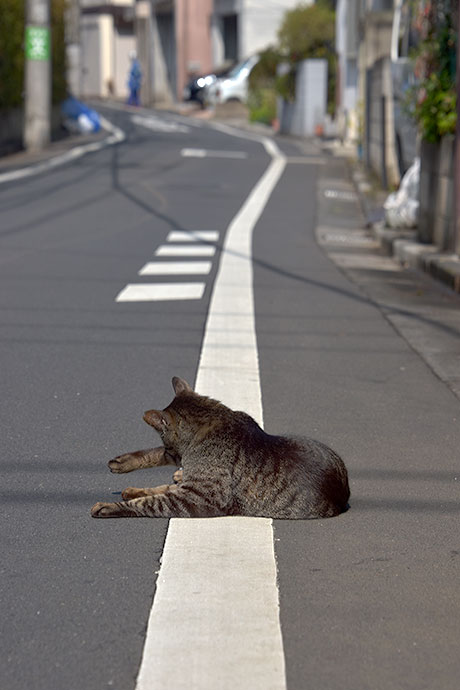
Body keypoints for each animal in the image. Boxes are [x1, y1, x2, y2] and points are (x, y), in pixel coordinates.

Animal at [90, 376, 350, 516]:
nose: (172, 450)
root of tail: (345, 490)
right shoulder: (184, 465)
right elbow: (157, 456)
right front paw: (124, 462)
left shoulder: (198, 498)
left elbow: (150, 502)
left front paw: (109, 507)